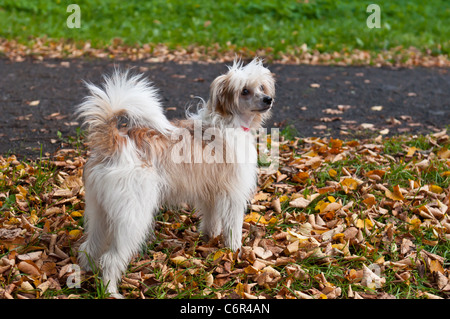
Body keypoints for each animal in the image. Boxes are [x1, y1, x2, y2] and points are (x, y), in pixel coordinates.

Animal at [76, 58, 274, 298]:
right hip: (133, 217)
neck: (228, 122)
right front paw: (235, 252)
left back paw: (85, 275)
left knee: (89, 247)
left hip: (100, 212)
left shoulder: (211, 192)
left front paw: (209, 240)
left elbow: (211, 220)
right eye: (244, 91)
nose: (268, 99)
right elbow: (233, 228)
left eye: (261, 87)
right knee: (111, 259)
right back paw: (110, 291)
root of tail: (114, 142)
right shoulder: (233, 195)